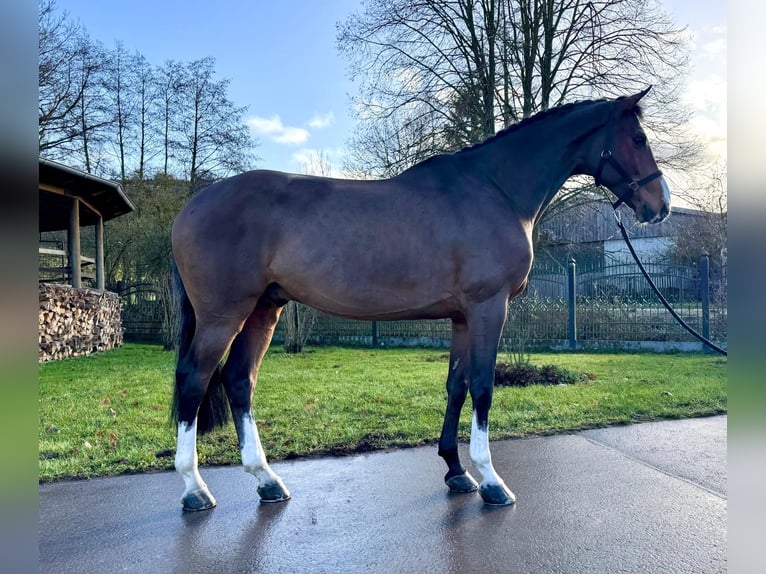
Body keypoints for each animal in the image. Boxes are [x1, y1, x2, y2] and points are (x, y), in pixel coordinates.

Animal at [171, 88, 668, 510]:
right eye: (638, 138)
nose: (659, 204)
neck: (496, 189)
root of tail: (190, 207)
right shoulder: (489, 307)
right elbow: (483, 387)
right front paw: (491, 480)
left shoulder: (463, 317)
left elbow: (457, 385)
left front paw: (455, 470)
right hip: (223, 315)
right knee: (194, 380)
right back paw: (194, 488)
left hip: (264, 309)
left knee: (239, 379)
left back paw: (267, 480)